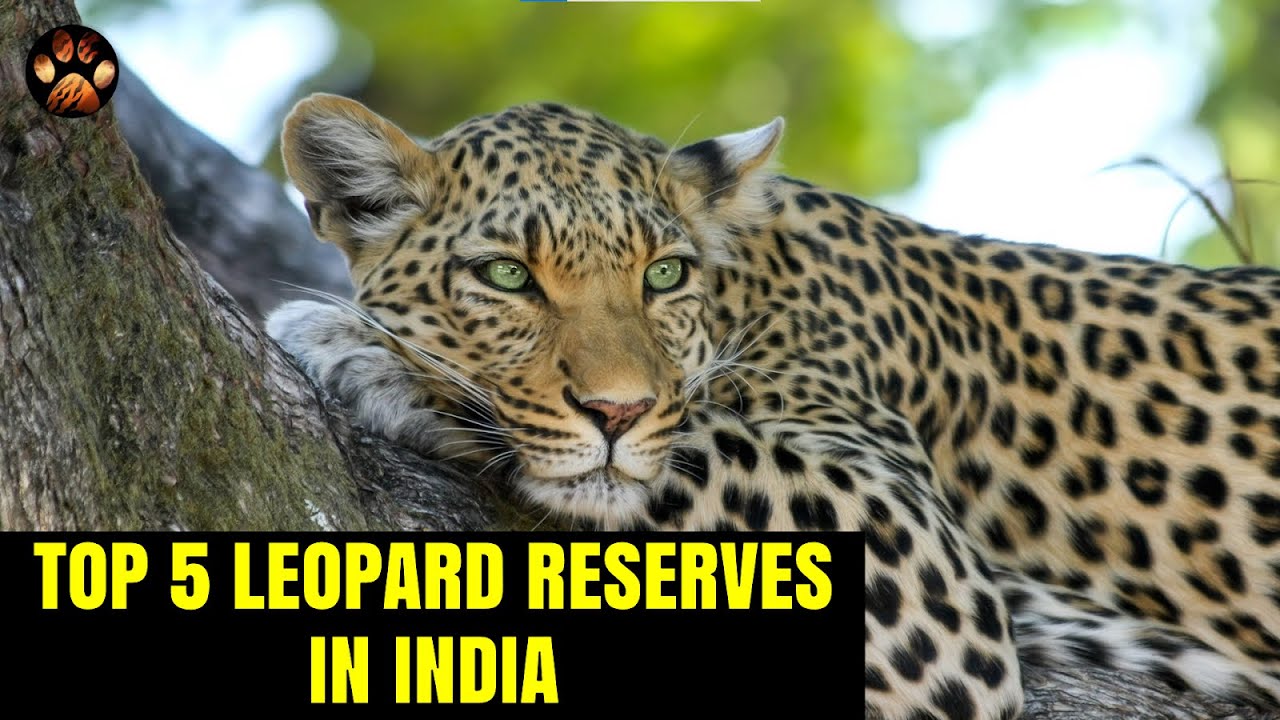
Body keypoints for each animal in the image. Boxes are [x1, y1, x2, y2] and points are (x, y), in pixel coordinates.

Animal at [264, 93, 1280, 719]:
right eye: (507, 276)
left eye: (663, 275)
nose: (617, 413)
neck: (747, 287)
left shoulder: (922, 566)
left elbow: (703, 444)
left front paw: (367, 351)